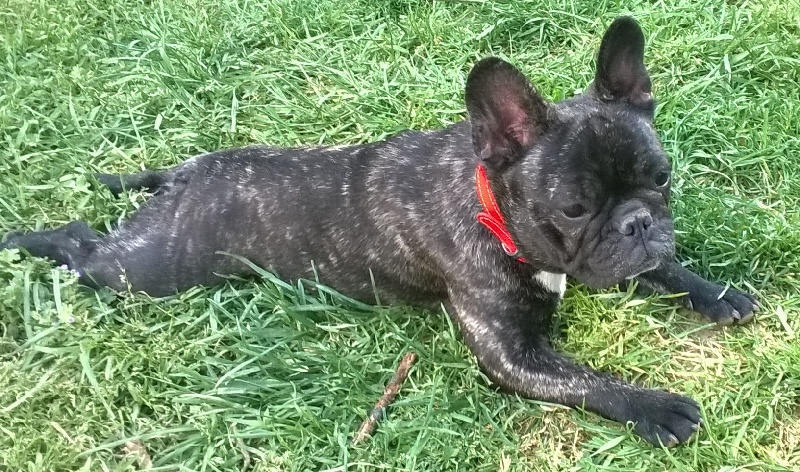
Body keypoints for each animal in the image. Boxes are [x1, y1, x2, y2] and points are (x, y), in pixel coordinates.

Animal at [1, 17, 757, 446]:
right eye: (573, 208)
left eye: (661, 177)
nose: (638, 221)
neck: (493, 205)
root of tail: (181, 177)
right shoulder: (515, 355)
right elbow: (586, 380)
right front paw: (653, 406)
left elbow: (662, 270)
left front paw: (714, 291)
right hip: (146, 272)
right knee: (84, 245)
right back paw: (31, 243)